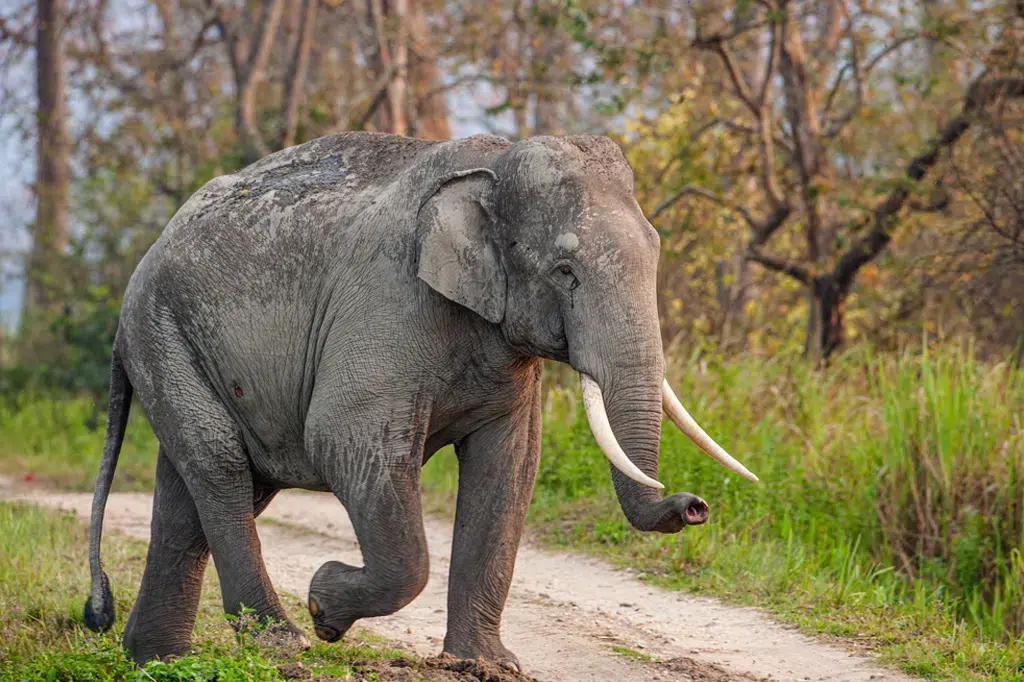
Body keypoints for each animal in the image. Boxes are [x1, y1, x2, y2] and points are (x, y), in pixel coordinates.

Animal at [83, 131, 756, 669]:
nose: (695, 505)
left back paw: (154, 660)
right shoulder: (389, 302)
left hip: (178, 347)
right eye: (565, 271)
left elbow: (510, 468)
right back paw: (281, 643)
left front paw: (487, 667)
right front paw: (325, 604)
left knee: (200, 491)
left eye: (657, 249)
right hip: (160, 332)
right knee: (222, 467)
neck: (494, 165)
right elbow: (342, 438)